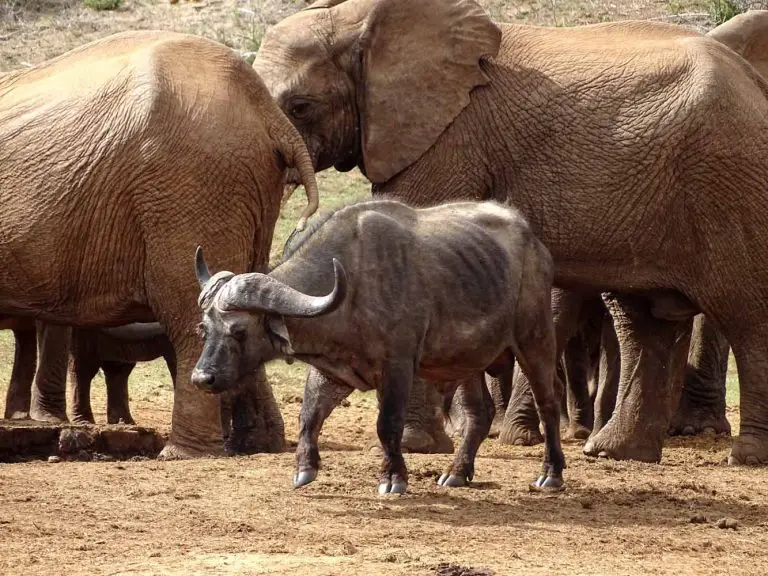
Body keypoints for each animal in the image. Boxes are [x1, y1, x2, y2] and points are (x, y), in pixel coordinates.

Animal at [254, 0, 768, 466]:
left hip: (729, 185)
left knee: (745, 313)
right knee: (645, 322)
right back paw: (614, 453)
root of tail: (753, 83)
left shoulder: (450, 140)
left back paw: (746, 456)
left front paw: (417, 446)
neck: (358, 17)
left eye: (300, 106)